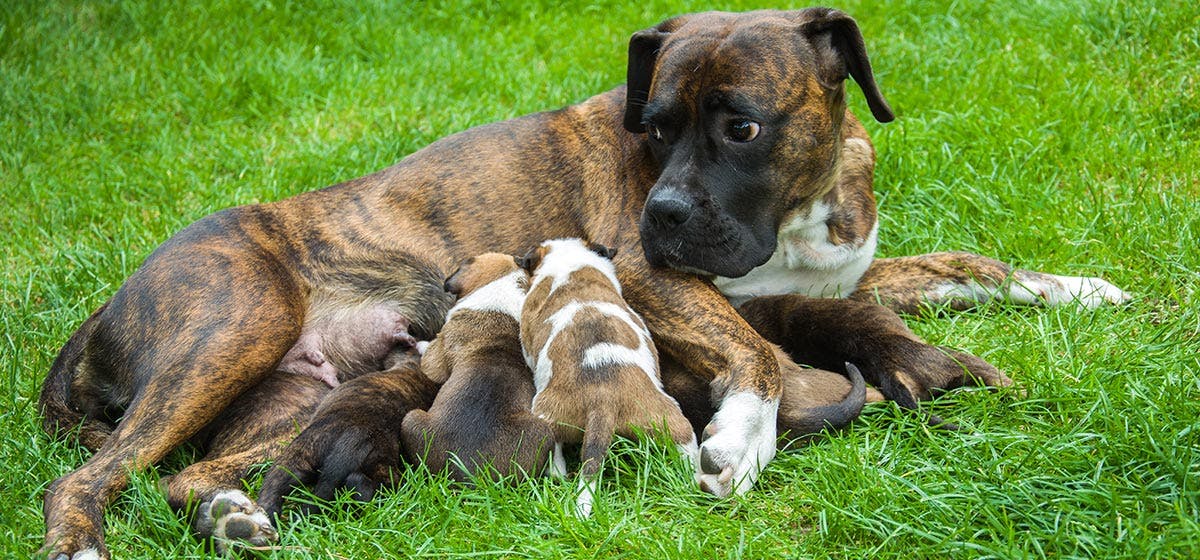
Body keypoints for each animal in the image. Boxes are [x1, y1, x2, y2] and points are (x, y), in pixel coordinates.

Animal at [400, 254, 554, 482]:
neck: (501, 287)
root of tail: (472, 475)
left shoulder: (438, 355)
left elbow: (431, 357)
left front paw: (419, 344)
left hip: (411, 418)